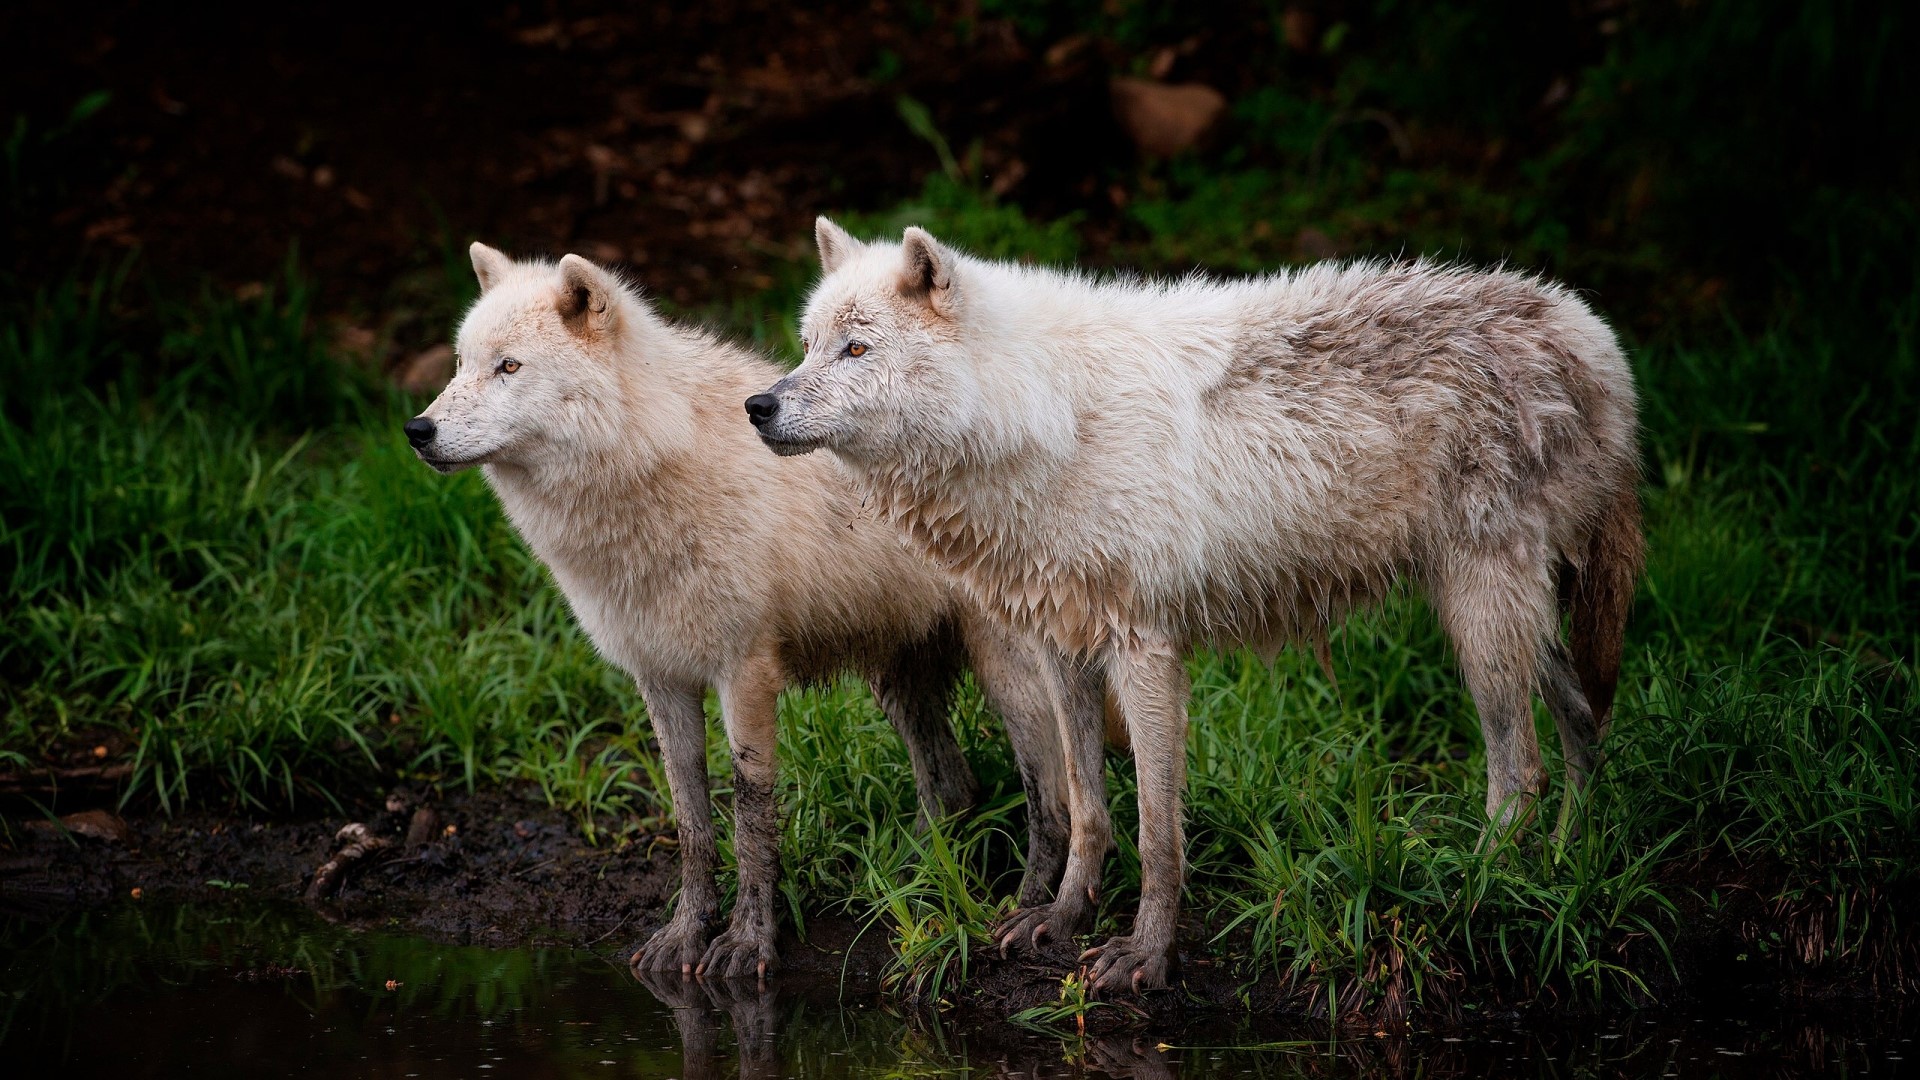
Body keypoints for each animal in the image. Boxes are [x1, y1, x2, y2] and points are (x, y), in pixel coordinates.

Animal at [407, 243, 1085, 979]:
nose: (417, 430)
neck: (648, 467)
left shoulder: (745, 673)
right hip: (897, 679)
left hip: (1010, 678)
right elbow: (692, 823)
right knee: (954, 788)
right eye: (460, 364)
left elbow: (751, 815)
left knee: (1053, 798)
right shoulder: (660, 680)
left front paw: (747, 941)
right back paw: (911, 885)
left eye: (509, 367)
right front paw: (685, 932)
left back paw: (1018, 907)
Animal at [748, 219, 1643, 992]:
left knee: (1519, 772)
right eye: (808, 345)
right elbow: (1087, 807)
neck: (1047, 414)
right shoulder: (1062, 647)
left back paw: (1479, 887)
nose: (760, 405)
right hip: (1514, 618)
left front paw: (1144, 956)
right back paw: (1568, 869)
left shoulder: (1145, 650)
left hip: (1479, 618)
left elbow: (1156, 832)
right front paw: (1059, 920)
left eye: (857, 349)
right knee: (1583, 722)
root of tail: (1593, 337)